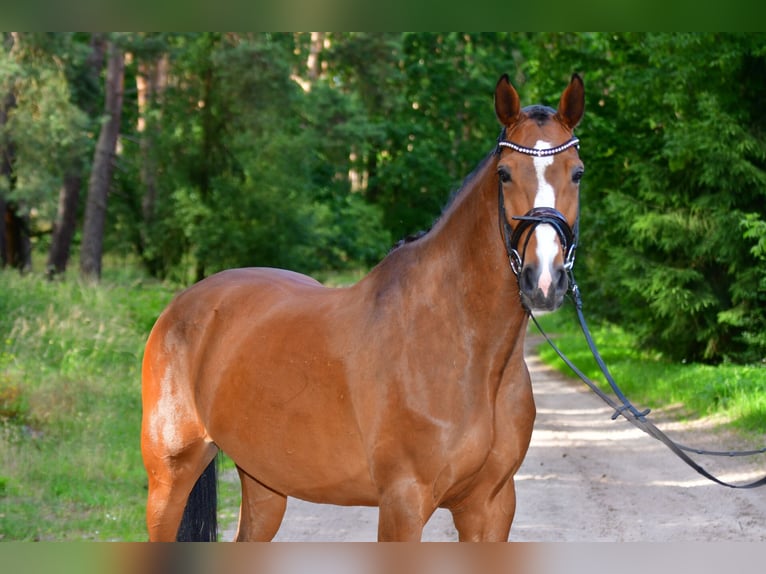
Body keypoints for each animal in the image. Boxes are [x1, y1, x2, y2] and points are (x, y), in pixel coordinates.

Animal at [142, 73, 588, 544]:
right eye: (505, 174)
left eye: (577, 173)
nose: (544, 281)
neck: (464, 351)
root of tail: (181, 306)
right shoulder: (402, 503)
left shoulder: (492, 507)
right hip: (170, 476)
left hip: (264, 481)